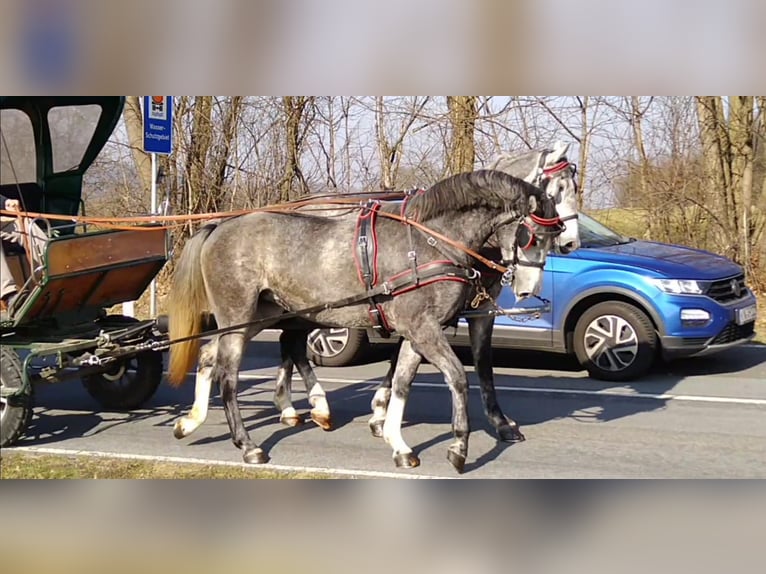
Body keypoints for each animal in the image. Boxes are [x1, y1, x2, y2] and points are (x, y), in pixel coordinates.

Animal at [170, 170, 564, 472]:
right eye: (531, 237)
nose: (529, 289)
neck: (430, 242)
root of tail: (220, 225)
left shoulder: (418, 332)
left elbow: (403, 382)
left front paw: (397, 442)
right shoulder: (425, 329)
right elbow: (458, 378)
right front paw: (459, 447)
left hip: (260, 314)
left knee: (210, 354)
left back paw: (192, 420)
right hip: (238, 316)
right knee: (229, 376)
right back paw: (248, 443)